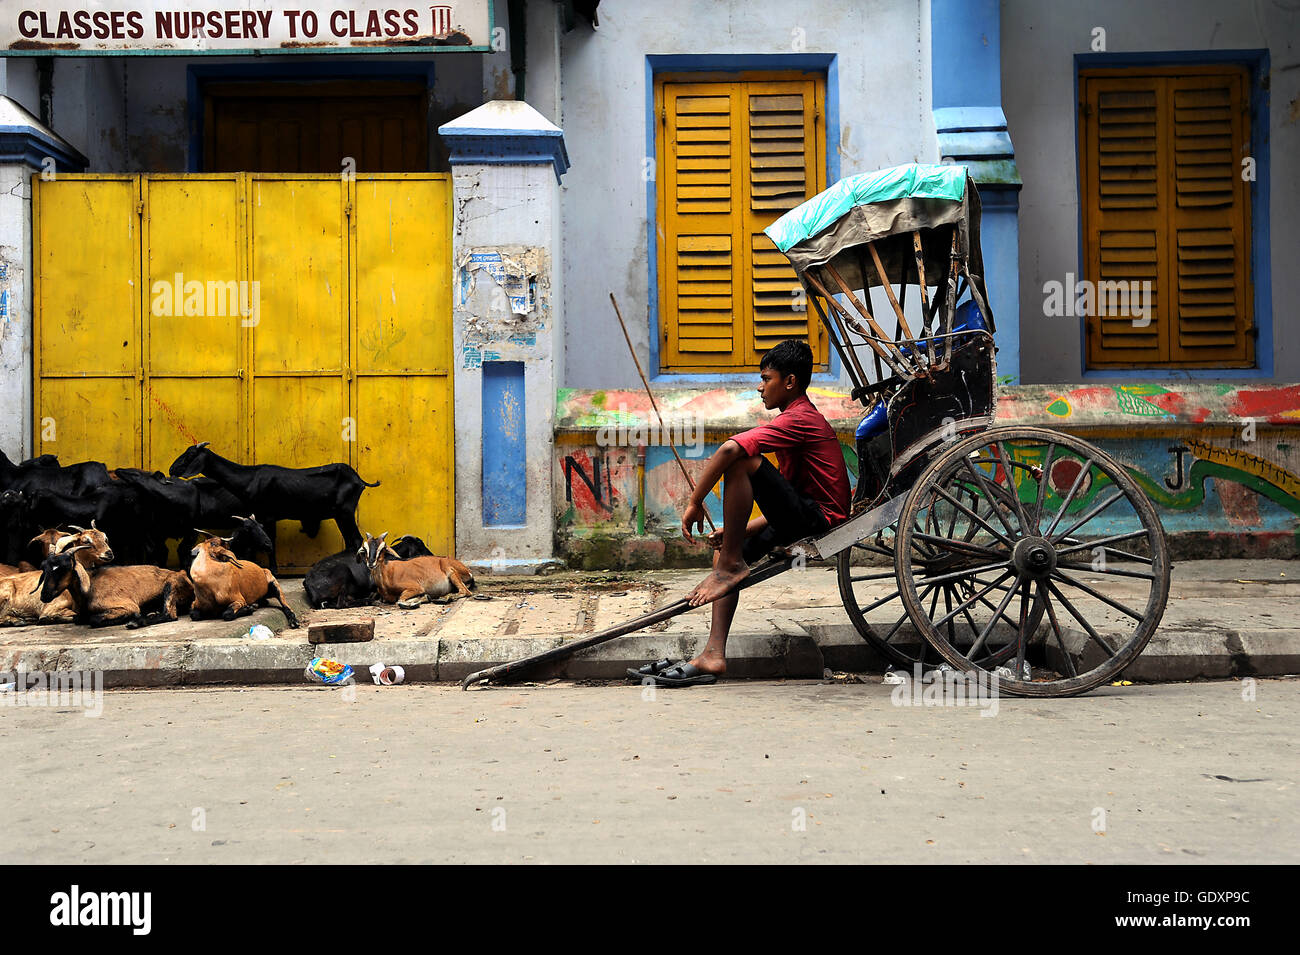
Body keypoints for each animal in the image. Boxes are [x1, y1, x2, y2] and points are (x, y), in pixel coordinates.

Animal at [34, 548, 192, 631]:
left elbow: (94, 619)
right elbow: (78, 618)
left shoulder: (128, 606)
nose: (44, 595)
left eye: (63, 568)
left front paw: (133, 617)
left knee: (170, 614)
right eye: (44, 568)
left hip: (171, 586)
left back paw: (136, 622)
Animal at [167, 441, 377, 548]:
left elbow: (271, 544)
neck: (250, 478)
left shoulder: (267, 515)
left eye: (190, 455)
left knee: (356, 540)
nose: (171, 469)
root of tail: (359, 480)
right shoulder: (261, 517)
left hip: (345, 512)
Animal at [300, 535, 431, 608]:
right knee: (340, 604)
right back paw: (370, 601)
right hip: (343, 572)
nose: (431, 555)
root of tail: (307, 581)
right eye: (420, 546)